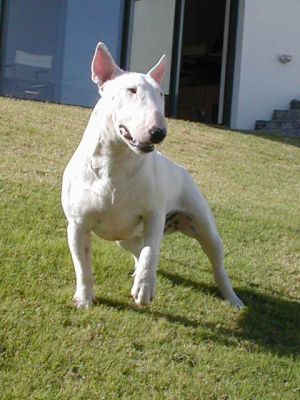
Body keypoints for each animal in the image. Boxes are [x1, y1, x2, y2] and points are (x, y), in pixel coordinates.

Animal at [61, 42, 244, 310]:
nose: (158, 133)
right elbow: (82, 264)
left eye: (160, 94)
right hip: (126, 237)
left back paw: (233, 298)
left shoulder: (153, 215)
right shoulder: (77, 224)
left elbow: (151, 253)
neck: (115, 162)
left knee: (215, 263)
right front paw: (84, 299)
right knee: (136, 248)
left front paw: (144, 289)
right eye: (131, 89)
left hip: (204, 226)